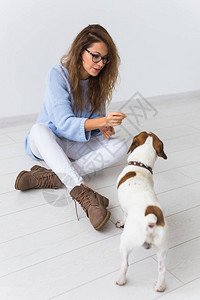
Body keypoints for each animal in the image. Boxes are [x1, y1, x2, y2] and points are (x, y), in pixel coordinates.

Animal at [115, 132, 169, 292]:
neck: (140, 166)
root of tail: (150, 219)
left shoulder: (123, 209)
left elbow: (123, 215)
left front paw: (121, 223)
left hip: (126, 243)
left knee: (125, 264)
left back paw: (120, 280)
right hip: (162, 248)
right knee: (162, 269)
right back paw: (159, 286)